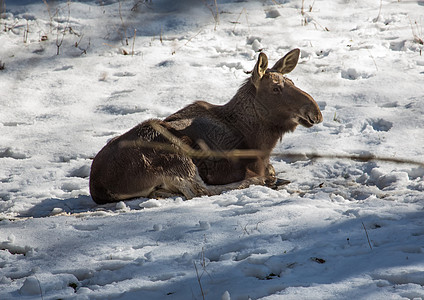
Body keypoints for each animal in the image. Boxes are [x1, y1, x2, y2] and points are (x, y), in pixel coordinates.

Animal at [88, 49, 322, 204]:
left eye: (291, 82)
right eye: (275, 88)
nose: (316, 112)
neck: (258, 139)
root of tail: (99, 188)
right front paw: (267, 177)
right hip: (171, 151)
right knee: (199, 191)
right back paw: (264, 181)